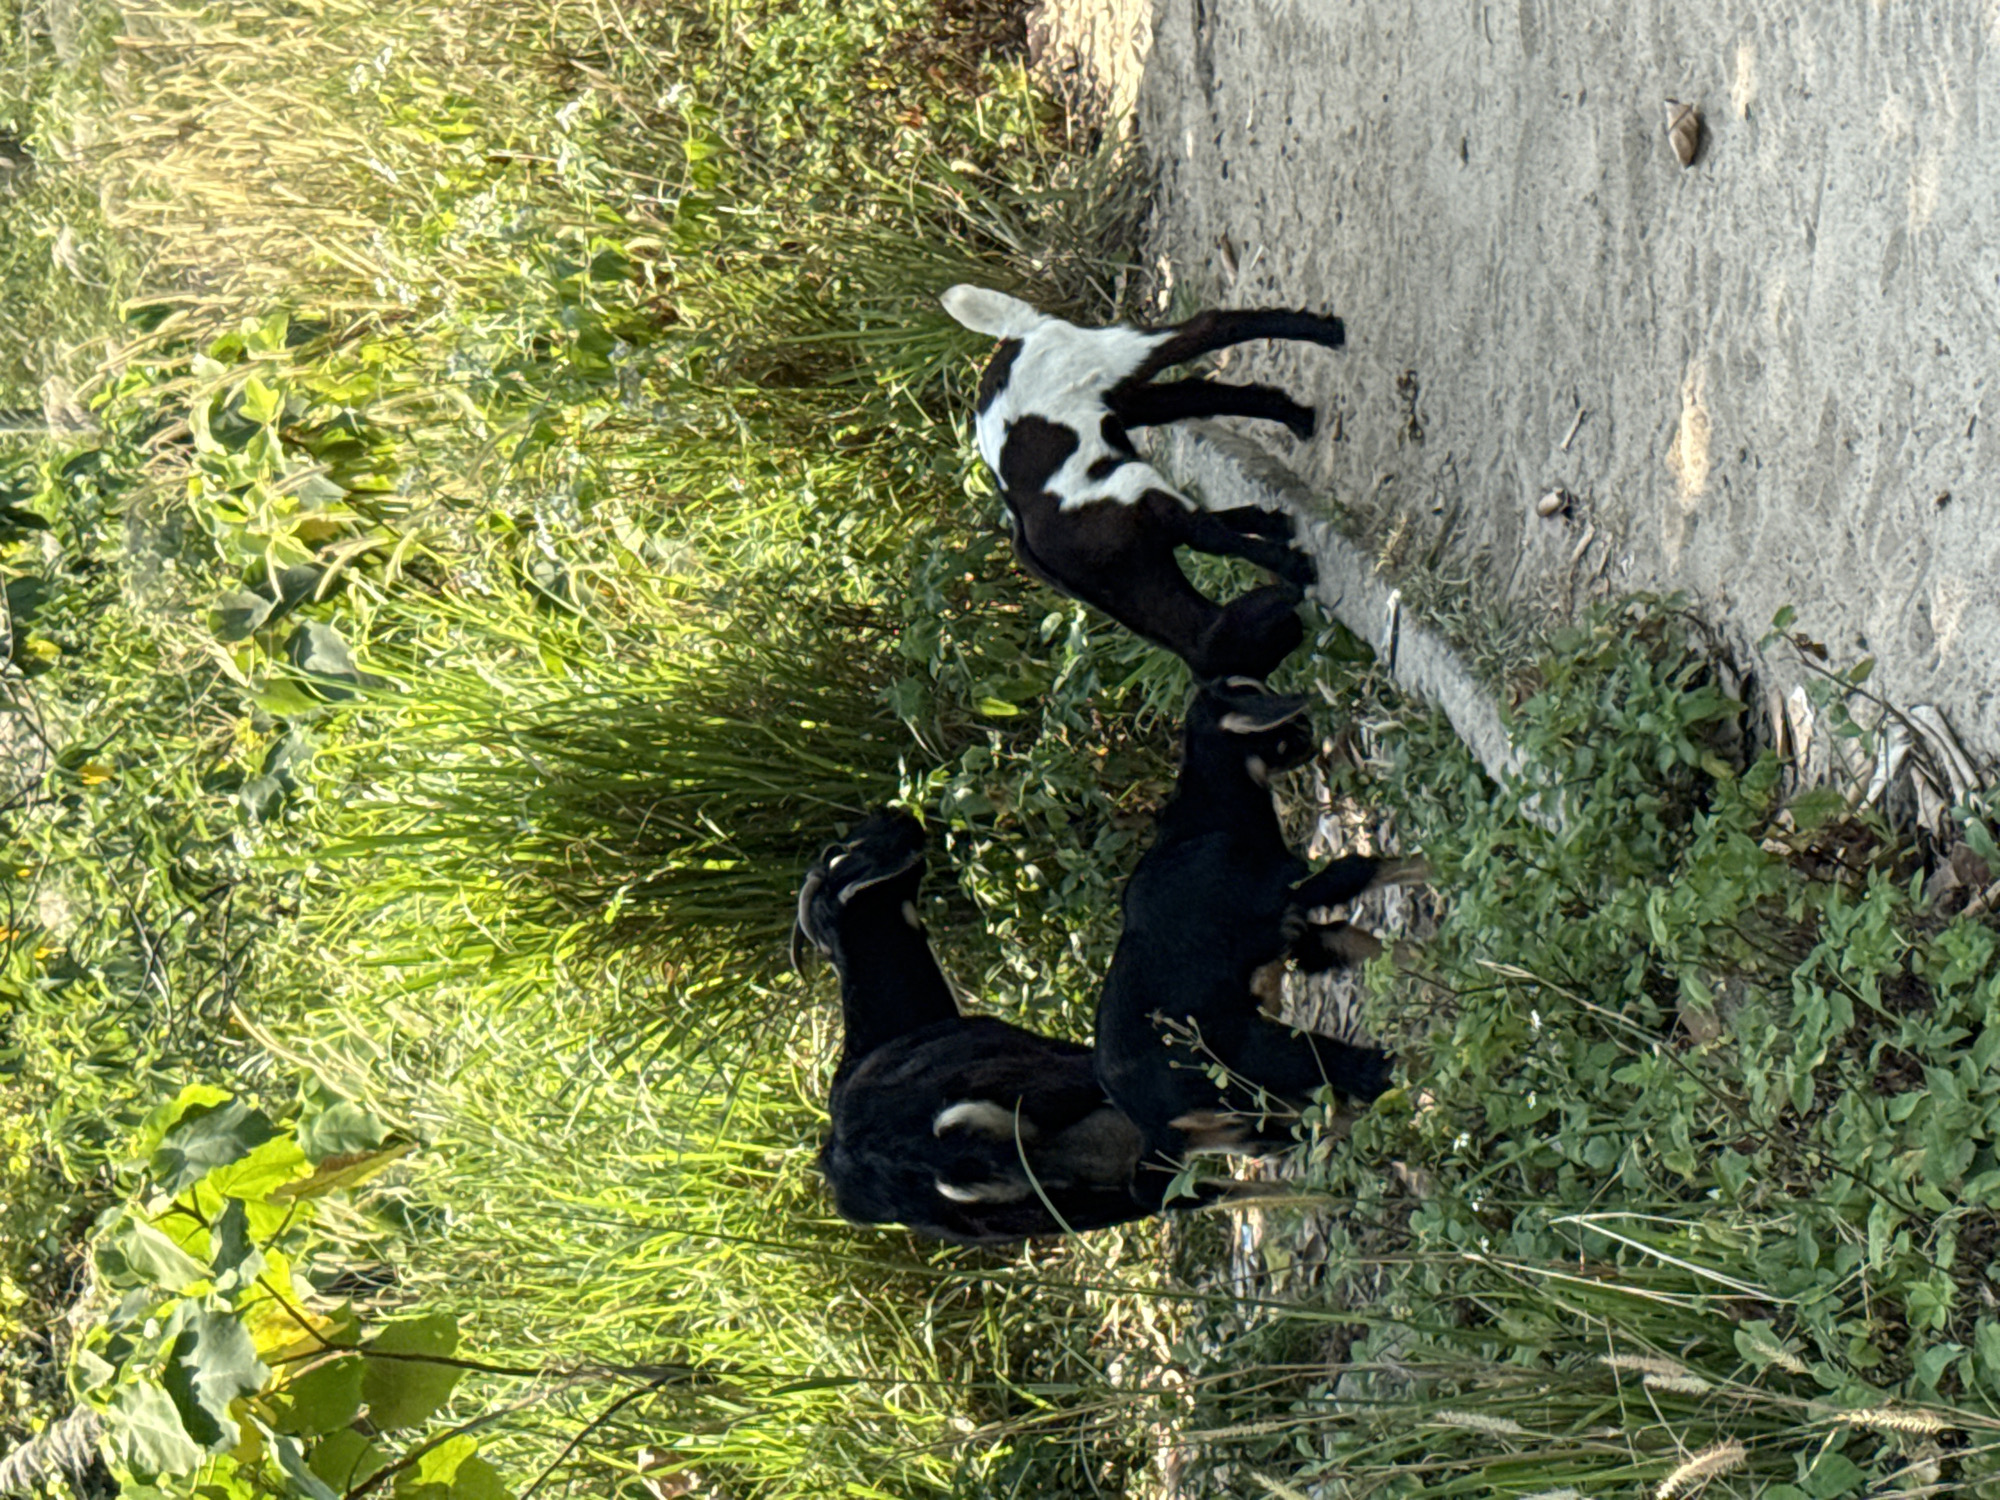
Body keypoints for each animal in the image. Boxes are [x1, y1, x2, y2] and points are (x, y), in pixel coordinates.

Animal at [941, 285, 1347, 682]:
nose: (1303, 623)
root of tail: (1017, 335)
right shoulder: (1141, 495)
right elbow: (1212, 529)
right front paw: (1278, 531)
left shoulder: (1134, 485)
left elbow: (1210, 536)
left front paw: (1295, 563)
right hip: (1124, 401)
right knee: (1198, 394)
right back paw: (1298, 416)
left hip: (1105, 356)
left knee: (1209, 327)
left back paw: (1328, 333)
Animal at [1094, 682, 1424, 1207]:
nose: (1311, 728)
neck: (1211, 819)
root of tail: (1146, 1117)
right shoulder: (1293, 891)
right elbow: (1374, 868)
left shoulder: (1297, 932)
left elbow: (1369, 946)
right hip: (1247, 1052)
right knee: (1348, 1075)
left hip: (1244, 1116)